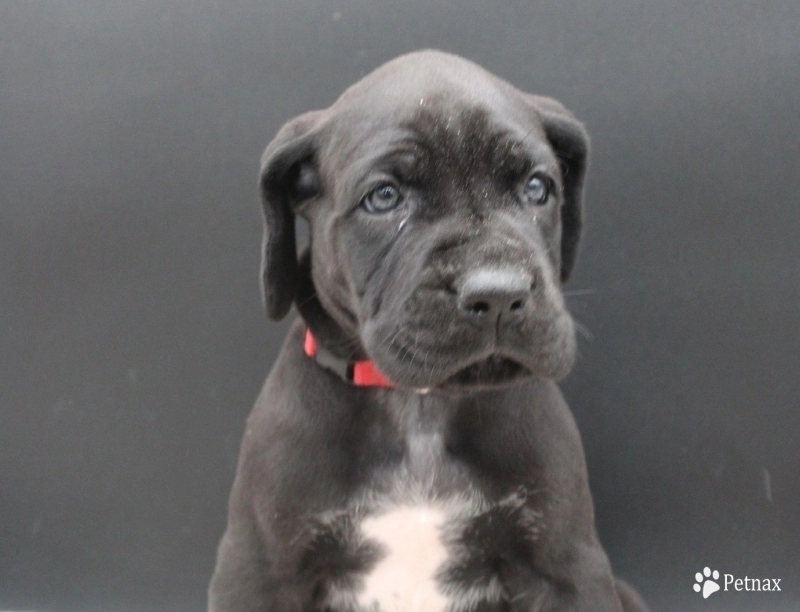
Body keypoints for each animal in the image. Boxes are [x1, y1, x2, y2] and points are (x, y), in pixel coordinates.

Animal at [209, 49, 648, 612]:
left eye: (537, 188)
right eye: (384, 198)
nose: (498, 293)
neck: (420, 407)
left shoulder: (567, 567)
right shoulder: (257, 571)